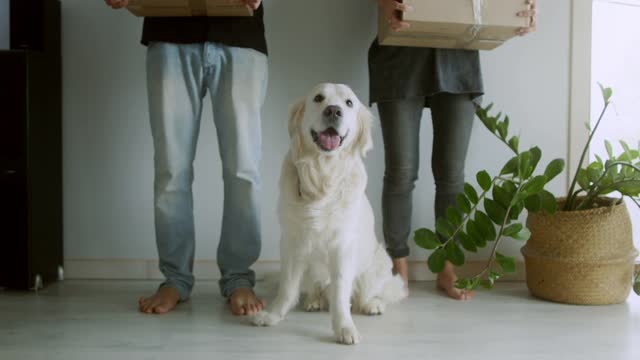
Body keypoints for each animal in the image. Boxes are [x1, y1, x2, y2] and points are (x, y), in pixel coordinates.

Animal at [252, 83, 408, 344]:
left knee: (366, 294)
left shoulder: (342, 245)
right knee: (315, 289)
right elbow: (287, 287)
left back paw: (372, 304)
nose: (333, 111)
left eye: (349, 103)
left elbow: (341, 293)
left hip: (379, 262)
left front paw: (344, 327)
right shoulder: (292, 242)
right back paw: (314, 300)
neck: (322, 175)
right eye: (318, 98)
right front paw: (273, 315)